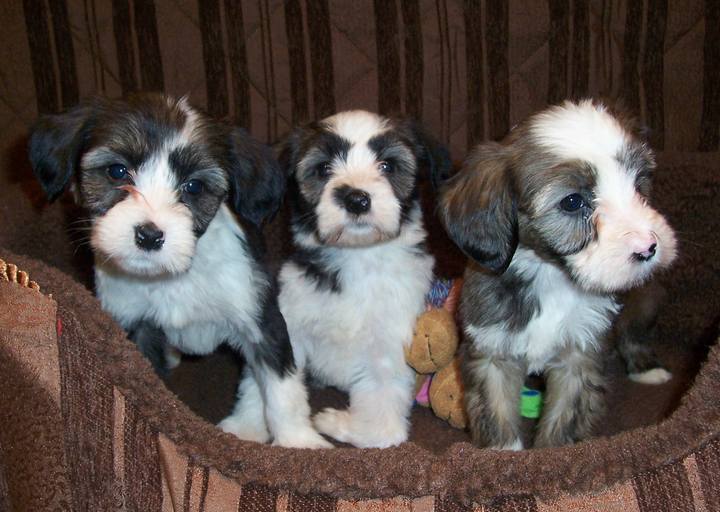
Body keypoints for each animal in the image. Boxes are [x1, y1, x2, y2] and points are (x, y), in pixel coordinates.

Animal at [27, 93, 332, 448]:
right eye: (117, 171)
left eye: (194, 186)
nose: (149, 235)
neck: (174, 275)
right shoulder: (133, 324)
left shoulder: (260, 318)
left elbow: (282, 388)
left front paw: (299, 443)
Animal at [252, 110, 450, 446]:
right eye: (323, 169)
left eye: (388, 166)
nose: (356, 199)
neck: (357, 256)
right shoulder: (290, 322)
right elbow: (273, 388)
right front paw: (250, 427)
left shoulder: (389, 350)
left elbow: (384, 431)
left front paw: (336, 423)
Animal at [436, 99, 676, 448]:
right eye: (573, 202)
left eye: (638, 182)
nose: (648, 248)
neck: (551, 277)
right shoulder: (491, 350)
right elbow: (498, 416)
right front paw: (504, 453)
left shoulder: (580, 356)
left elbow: (564, 419)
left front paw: (553, 453)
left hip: (648, 297)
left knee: (635, 332)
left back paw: (647, 368)